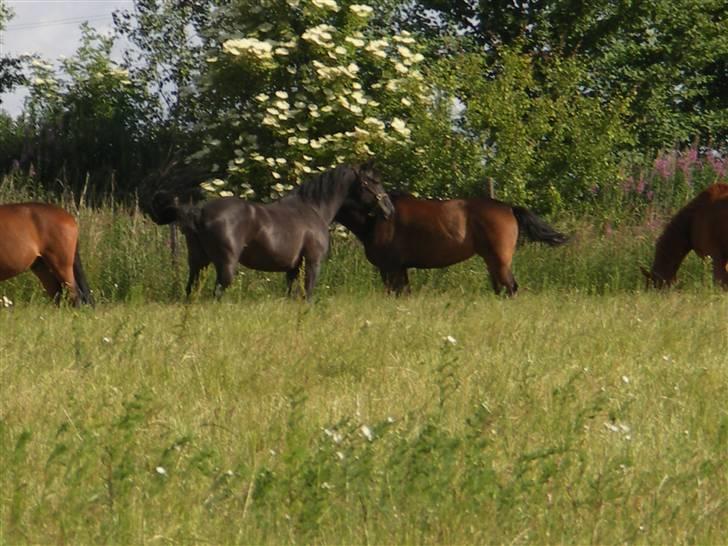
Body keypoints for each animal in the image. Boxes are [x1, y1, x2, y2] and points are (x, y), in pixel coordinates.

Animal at [150, 162, 396, 298]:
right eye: (373, 181)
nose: (390, 208)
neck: (313, 208)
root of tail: (198, 211)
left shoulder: (292, 269)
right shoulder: (312, 263)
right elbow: (307, 295)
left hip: (198, 263)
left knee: (191, 290)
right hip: (225, 266)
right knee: (216, 292)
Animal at [336, 191, 568, 294]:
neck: (377, 219)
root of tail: (509, 207)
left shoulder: (390, 268)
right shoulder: (400, 269)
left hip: (500, 261)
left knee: (510, 287)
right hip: (492, 261)